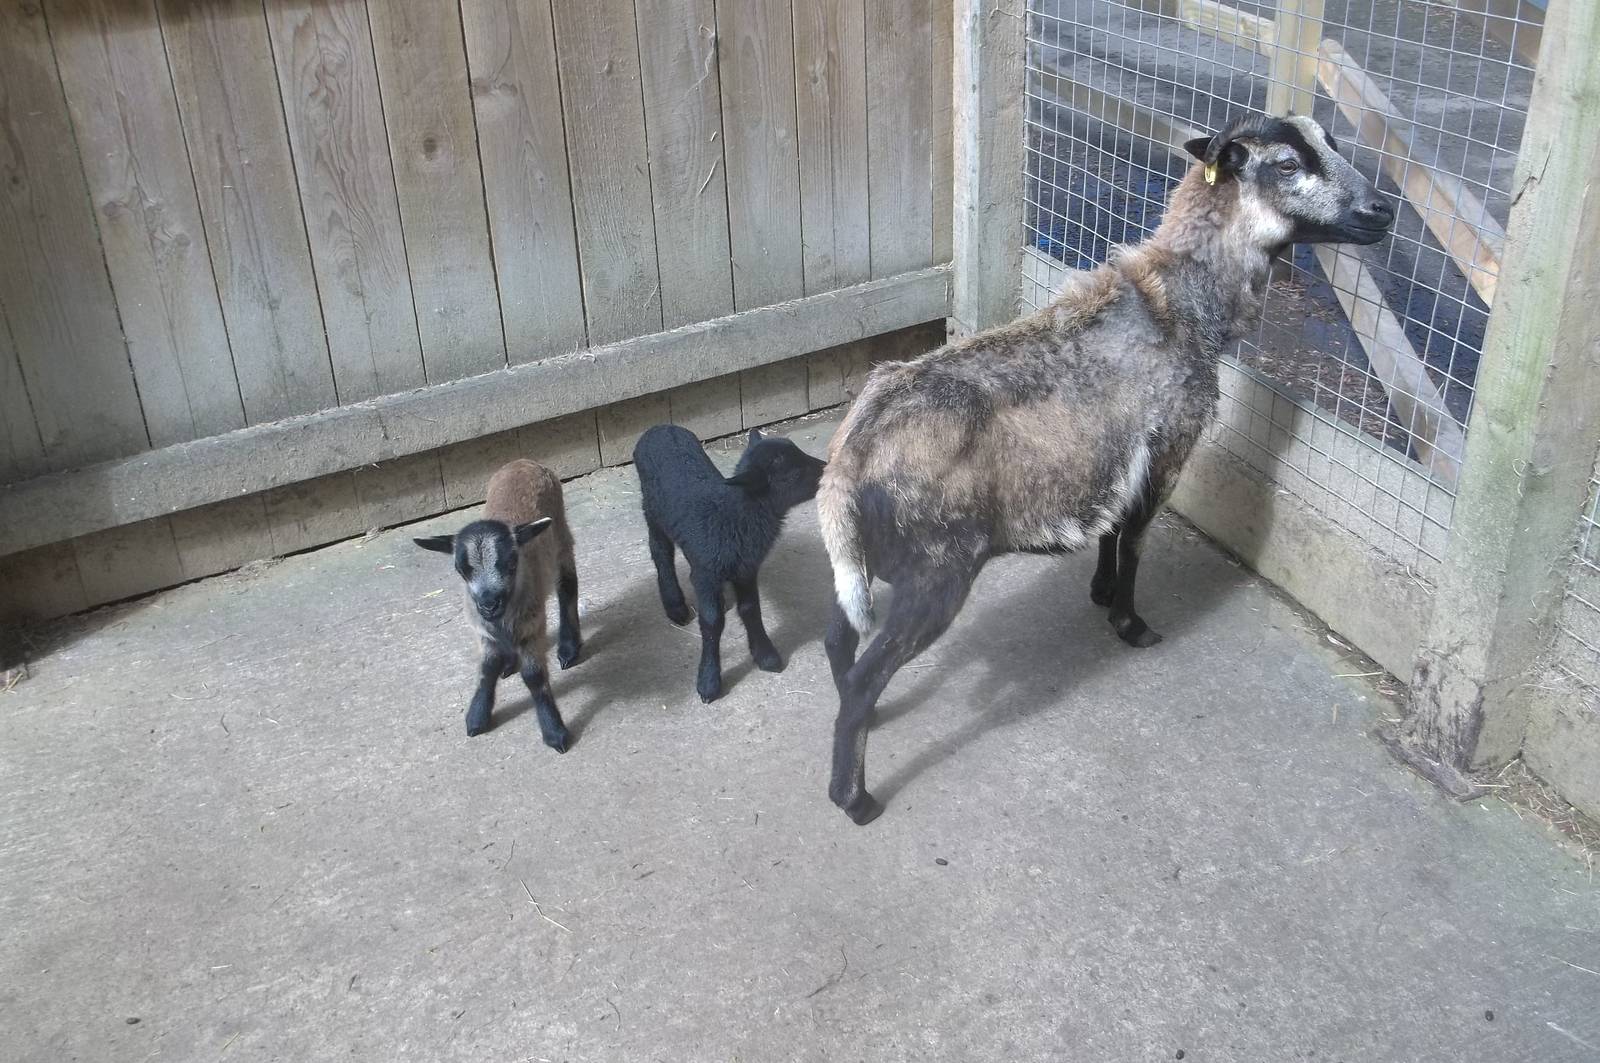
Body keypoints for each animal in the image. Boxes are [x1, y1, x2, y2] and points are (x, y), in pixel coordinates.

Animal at [413, 459, 583, 750]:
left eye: (512, 564)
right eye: (461, 570)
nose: (488, 605)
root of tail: (524, 461)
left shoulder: (531, 626)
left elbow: (534, 677)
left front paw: (554, 732)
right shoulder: (482, 629)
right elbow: (486, 669)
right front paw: (477, 717)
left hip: (560, 533)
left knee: (567, 585)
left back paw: (569, 648)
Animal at [633, 424, 827, 703]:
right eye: (794, 473)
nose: (828, 469)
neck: (731, 515)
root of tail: (659, 427)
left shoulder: (746, 570)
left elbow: (750, 609)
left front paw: (765, 654)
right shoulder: (706, 573)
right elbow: (712, 622)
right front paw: (709, 681)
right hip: (651, 509)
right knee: (660, 552)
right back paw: (675, 606)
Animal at [818, 114, 1396, 824]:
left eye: (1330, 142)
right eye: (1288, 164)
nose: (1382, 211)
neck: (1183, 304)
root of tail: (847, 463)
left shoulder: (1121, 459)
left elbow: (1113, 528)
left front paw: (1098, 592)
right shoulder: (1170, 448)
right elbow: (1137, 541)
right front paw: (1130, 623)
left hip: (863, 567)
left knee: (839, 644)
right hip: (936, 570)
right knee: (865, 673)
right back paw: (854, 799)